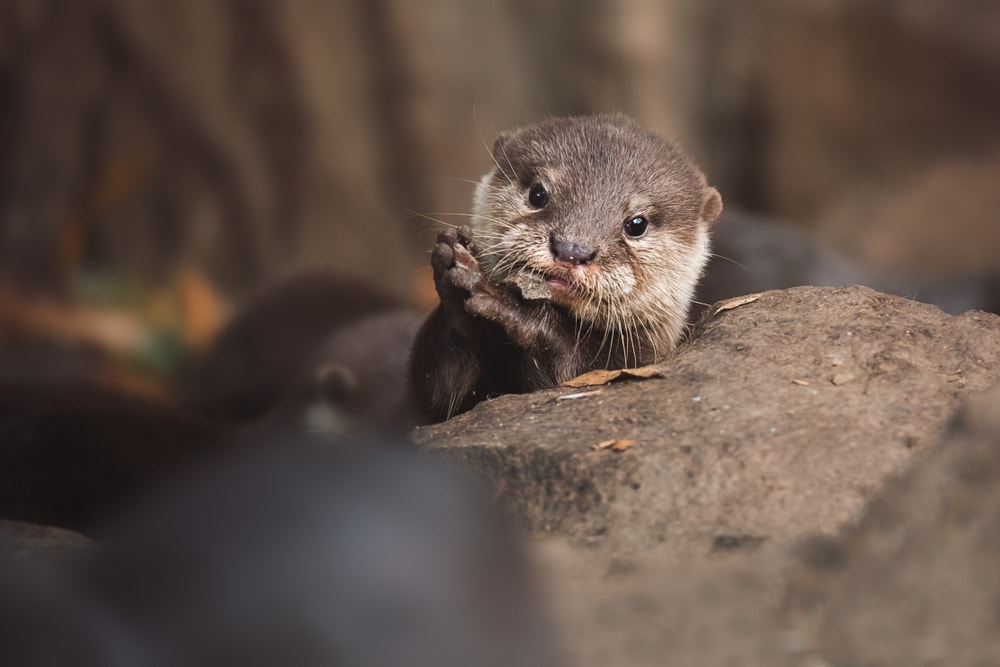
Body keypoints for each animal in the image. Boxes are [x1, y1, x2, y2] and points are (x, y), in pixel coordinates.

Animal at [410, 114, 723, 422]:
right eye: (538, 194)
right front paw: (455, 279)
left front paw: (508, 304)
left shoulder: (641, 356)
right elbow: (438, 396)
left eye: (637, 224)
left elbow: (575, 368)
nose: (571, 249)